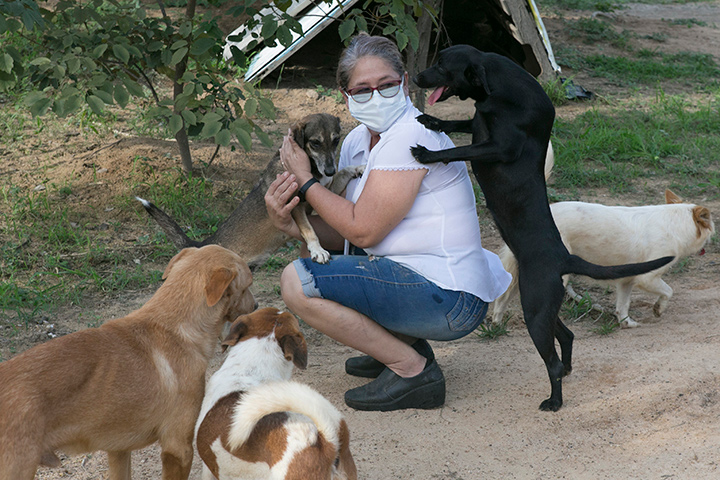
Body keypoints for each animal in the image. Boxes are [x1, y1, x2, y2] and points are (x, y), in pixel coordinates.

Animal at [414, 46, 672, 412]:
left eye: (441, 65)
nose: (416, 77)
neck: (501, 91)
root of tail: (565, 258)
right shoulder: (477, 125)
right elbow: (459, 124)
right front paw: (432, 121)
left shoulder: (498, 147)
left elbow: (457, 148)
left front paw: (426, 153)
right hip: (542, 307)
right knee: (566, 336)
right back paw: (567, 370)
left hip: (535, 308)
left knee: (552, 361)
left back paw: (554, 400)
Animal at [496, 189, 716, 328]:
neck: (673, 223)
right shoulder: (647, 278)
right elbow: (669, 291)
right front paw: (658, 309)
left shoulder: (627, 280)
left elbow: (623, 306)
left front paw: (627, 324)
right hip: (556, 275)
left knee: (502, 299)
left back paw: (497, 326)